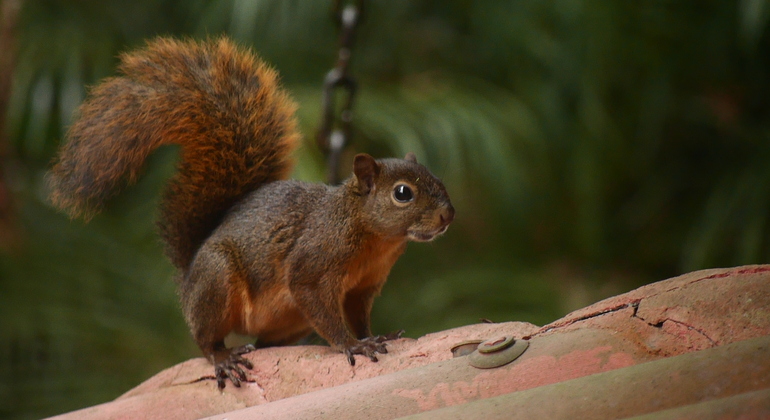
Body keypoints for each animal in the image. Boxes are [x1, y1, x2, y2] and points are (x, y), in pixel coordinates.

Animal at [48, 37, 452, 388]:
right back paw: (223, 357)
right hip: (216, 279)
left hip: (289, 322)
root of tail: (189, 272)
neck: (371, 235)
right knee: (205, 339)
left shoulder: (364, 286)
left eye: (438, 179)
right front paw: (350, 344)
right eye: (403, 193)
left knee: (264, 344)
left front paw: (377, 335)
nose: (448, 216)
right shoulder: (314, 263)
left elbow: (359, 315)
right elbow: (320, 304)